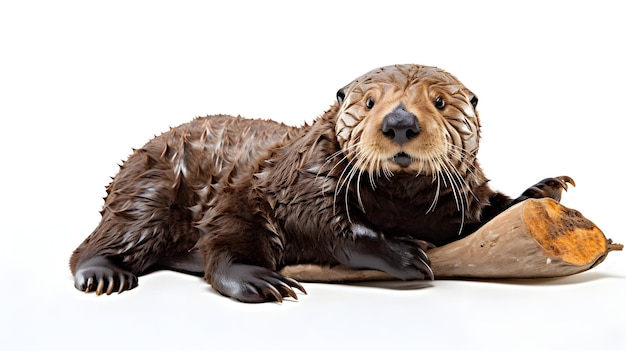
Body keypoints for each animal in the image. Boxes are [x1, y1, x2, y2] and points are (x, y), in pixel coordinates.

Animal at [69, 65, 572, 302]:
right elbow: (325, 226)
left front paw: (544, 188)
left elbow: (485, 212)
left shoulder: (460, 196)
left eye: (441, 102)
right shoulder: (300, 176)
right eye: (369, 102)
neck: (400, 206)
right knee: (210, 252)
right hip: (157, 196)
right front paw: (406, 254)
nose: (400, 122)